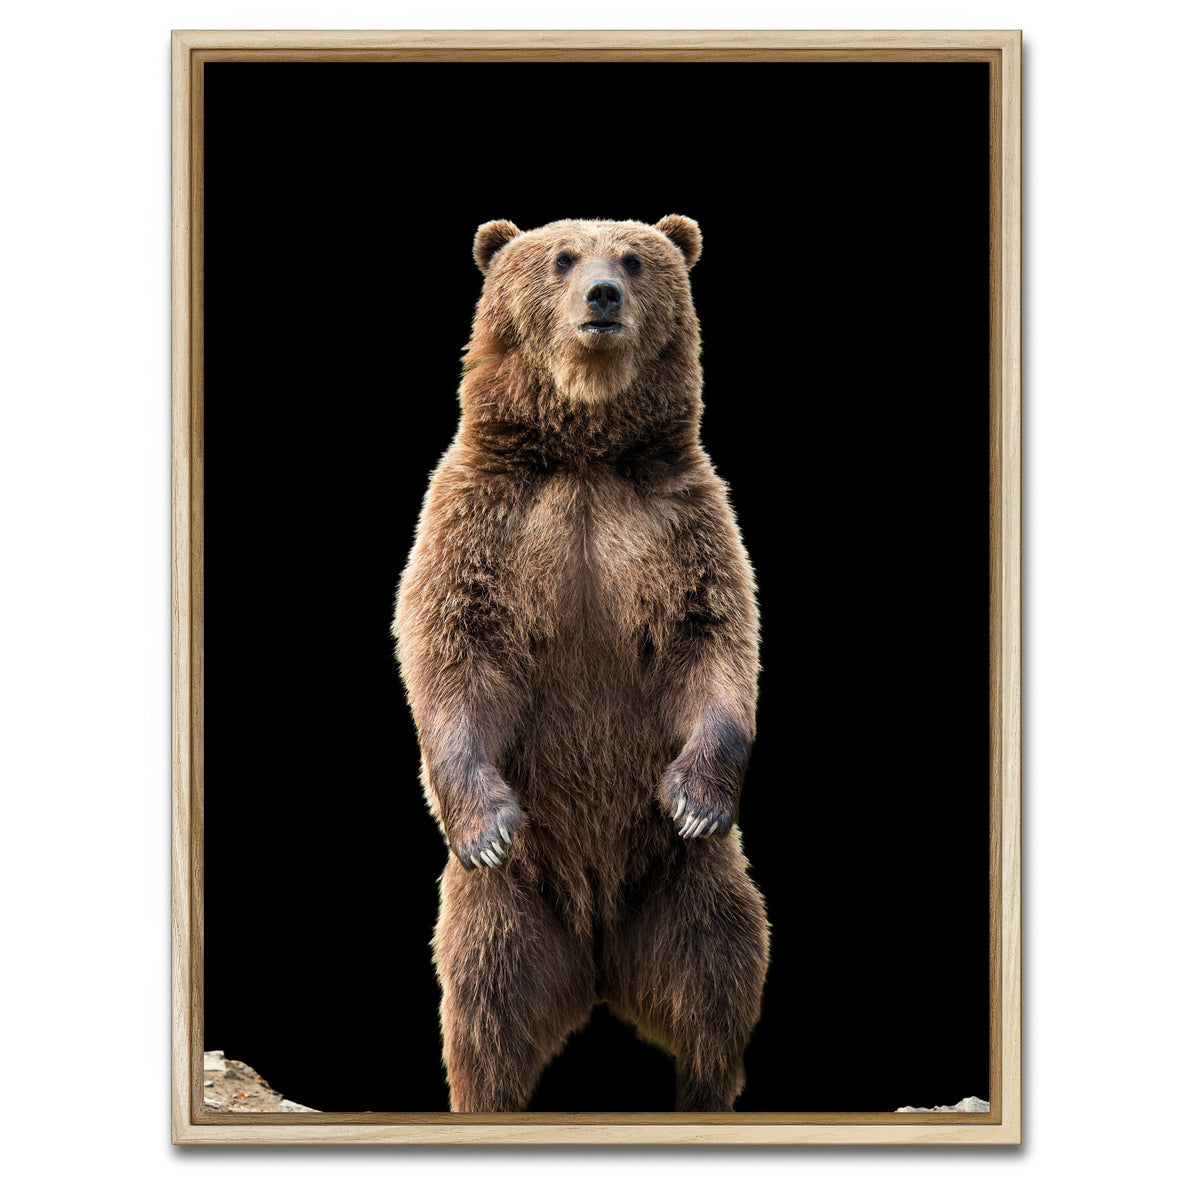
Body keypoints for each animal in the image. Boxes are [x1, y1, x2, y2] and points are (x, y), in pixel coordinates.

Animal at [392, 215, 769, 1113]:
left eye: (633, 259)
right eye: (562, 258)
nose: (602, 295)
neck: (586, 453)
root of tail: (598, 962)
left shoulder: (677, 522)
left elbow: (713, 641)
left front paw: (696, 797)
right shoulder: (484, 519)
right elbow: (454, 649)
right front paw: (489, 823)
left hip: (683, 885)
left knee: (719, 973)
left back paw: (702, 1090)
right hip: (513, 907)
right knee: (484, 1004)